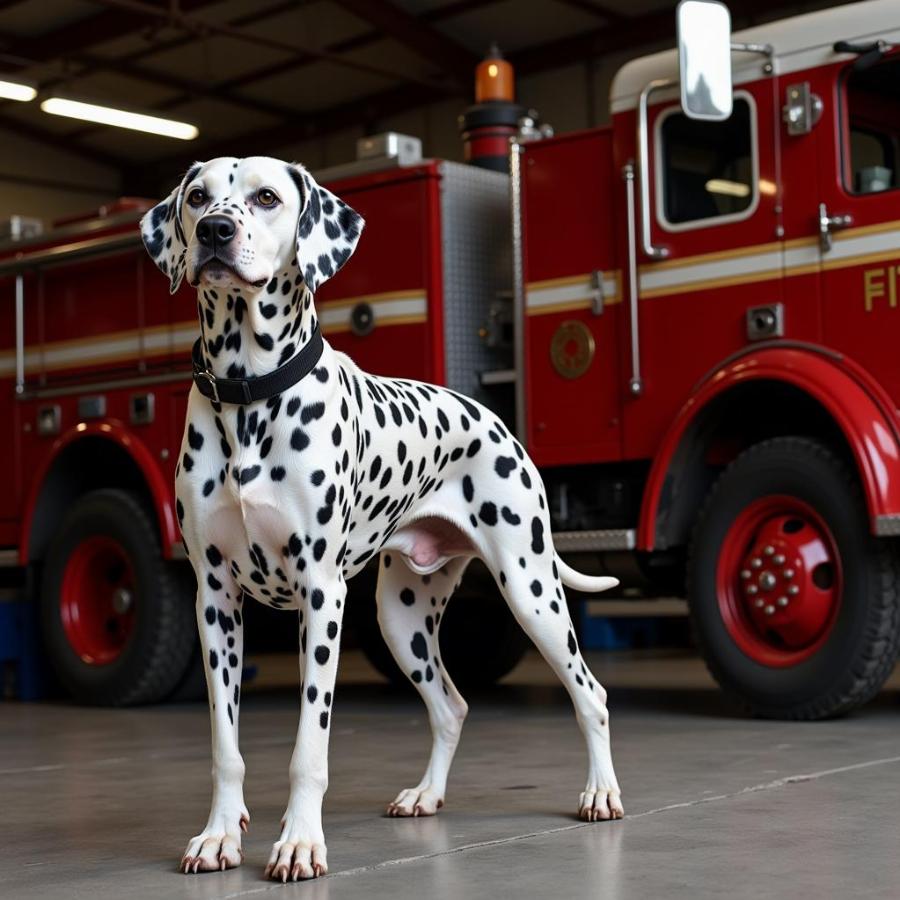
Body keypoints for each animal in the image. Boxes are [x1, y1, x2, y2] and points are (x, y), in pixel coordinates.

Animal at [141, 158, 624, 884]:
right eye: (197, 198)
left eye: (266, 197)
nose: (216, 231)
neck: (250, 394)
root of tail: (497, 421)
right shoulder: (216, 602)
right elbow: (227, 745)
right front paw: (220, 835)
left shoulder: (321, 598)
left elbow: (309, 748)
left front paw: (300, 842)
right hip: (402, 618)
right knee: (451, 706)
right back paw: (426, 794)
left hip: (531, 589)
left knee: (589, 693)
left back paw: (600, 793)